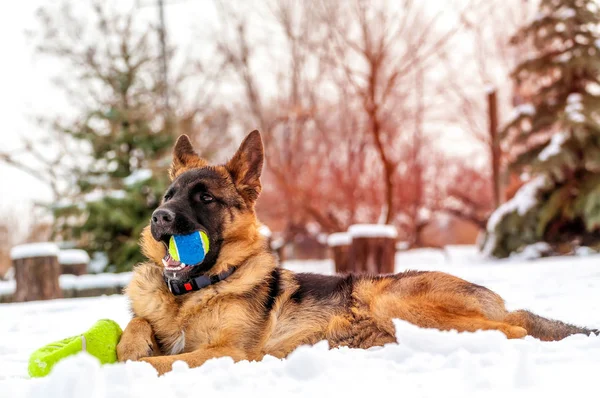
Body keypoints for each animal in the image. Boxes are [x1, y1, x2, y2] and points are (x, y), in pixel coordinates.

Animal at [116, 131, 596, 376]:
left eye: (205, 199)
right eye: (169, 195)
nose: (159, 218)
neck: (191, 292)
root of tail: (502, 304)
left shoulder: (231, 351)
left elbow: (171, 360)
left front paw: (130, 369)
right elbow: (138, 324)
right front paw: (128, 348)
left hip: (395, 301)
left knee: (510, 331)